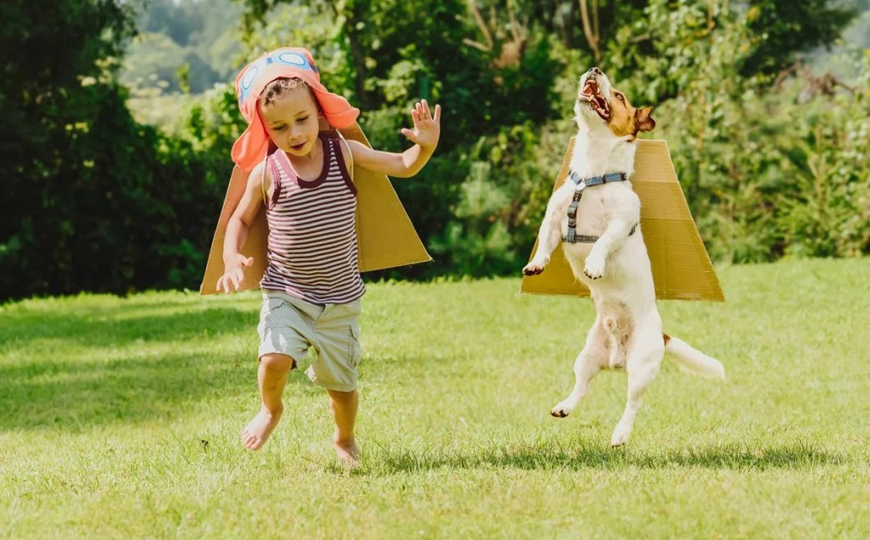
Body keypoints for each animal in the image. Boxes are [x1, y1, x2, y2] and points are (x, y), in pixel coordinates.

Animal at [528, 67, 724, 448]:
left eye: (618, 96)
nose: (595, 69)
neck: (591, 177)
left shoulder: (621, 222)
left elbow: (604, 241)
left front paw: (594, 264)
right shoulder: (554, 219)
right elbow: (545, 241)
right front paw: (536, 264)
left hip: (642, 368)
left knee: (633, 404)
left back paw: (620, 434)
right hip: (587, 356)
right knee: (582, 387)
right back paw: (564, 407)